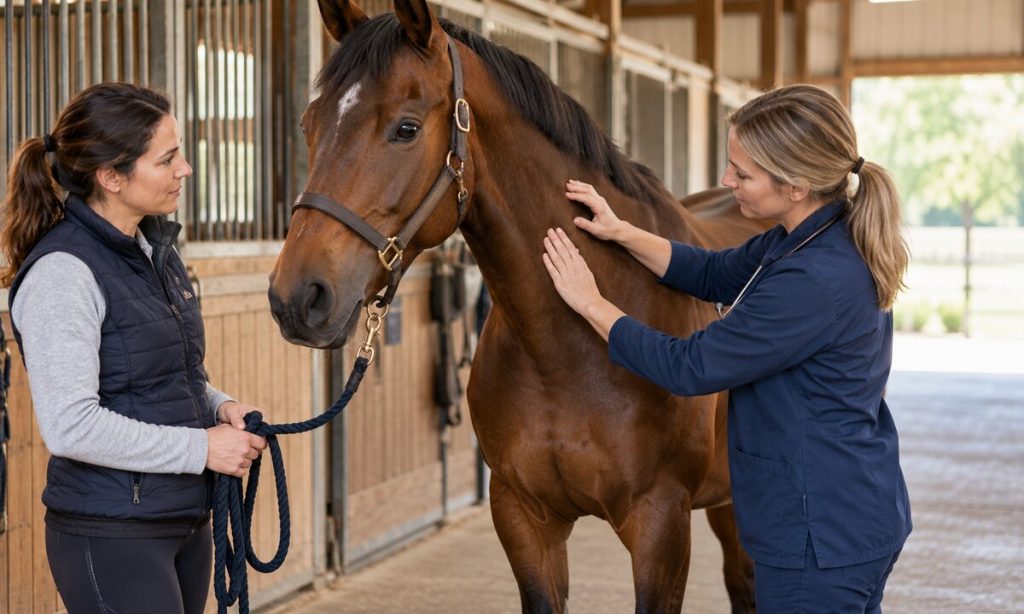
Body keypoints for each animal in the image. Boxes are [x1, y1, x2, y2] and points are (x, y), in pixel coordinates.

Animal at [269, 0, 763, 611]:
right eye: (308, 125)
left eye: (406, 129)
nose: (297, 297)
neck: (570, 345)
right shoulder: (523, 517)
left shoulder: (662, 524)